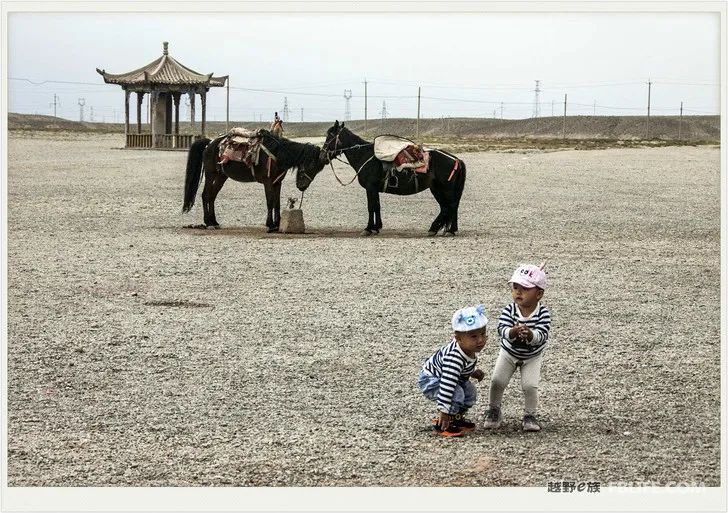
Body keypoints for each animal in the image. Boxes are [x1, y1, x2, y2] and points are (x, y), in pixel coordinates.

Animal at [182, 129, 328, 231]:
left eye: (317, 169)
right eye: (312, 166)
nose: (302, 187)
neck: (277, 154)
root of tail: (209, 144)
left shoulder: (277, 182)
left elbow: (277, 203)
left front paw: (277, 224)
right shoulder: (268, 182)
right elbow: (270, 202)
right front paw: (270, 225)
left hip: (221, 176)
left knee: (212, 196)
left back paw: (214, 222)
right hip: (210, 174)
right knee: (205, 195)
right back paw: (208, 222)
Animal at [322, 121, 470, 235]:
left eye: (330, 136)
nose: (322, 155)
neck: (364, 155)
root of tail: (456, 159)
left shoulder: (370, 187)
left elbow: (371, 206)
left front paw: (368, 229)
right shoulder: (374, 189)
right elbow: (377, 206)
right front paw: (376, 227)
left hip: (446, 189)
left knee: (451, 206)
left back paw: (449, 230)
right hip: (436, 189)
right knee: (446, 207)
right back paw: (437, 229)